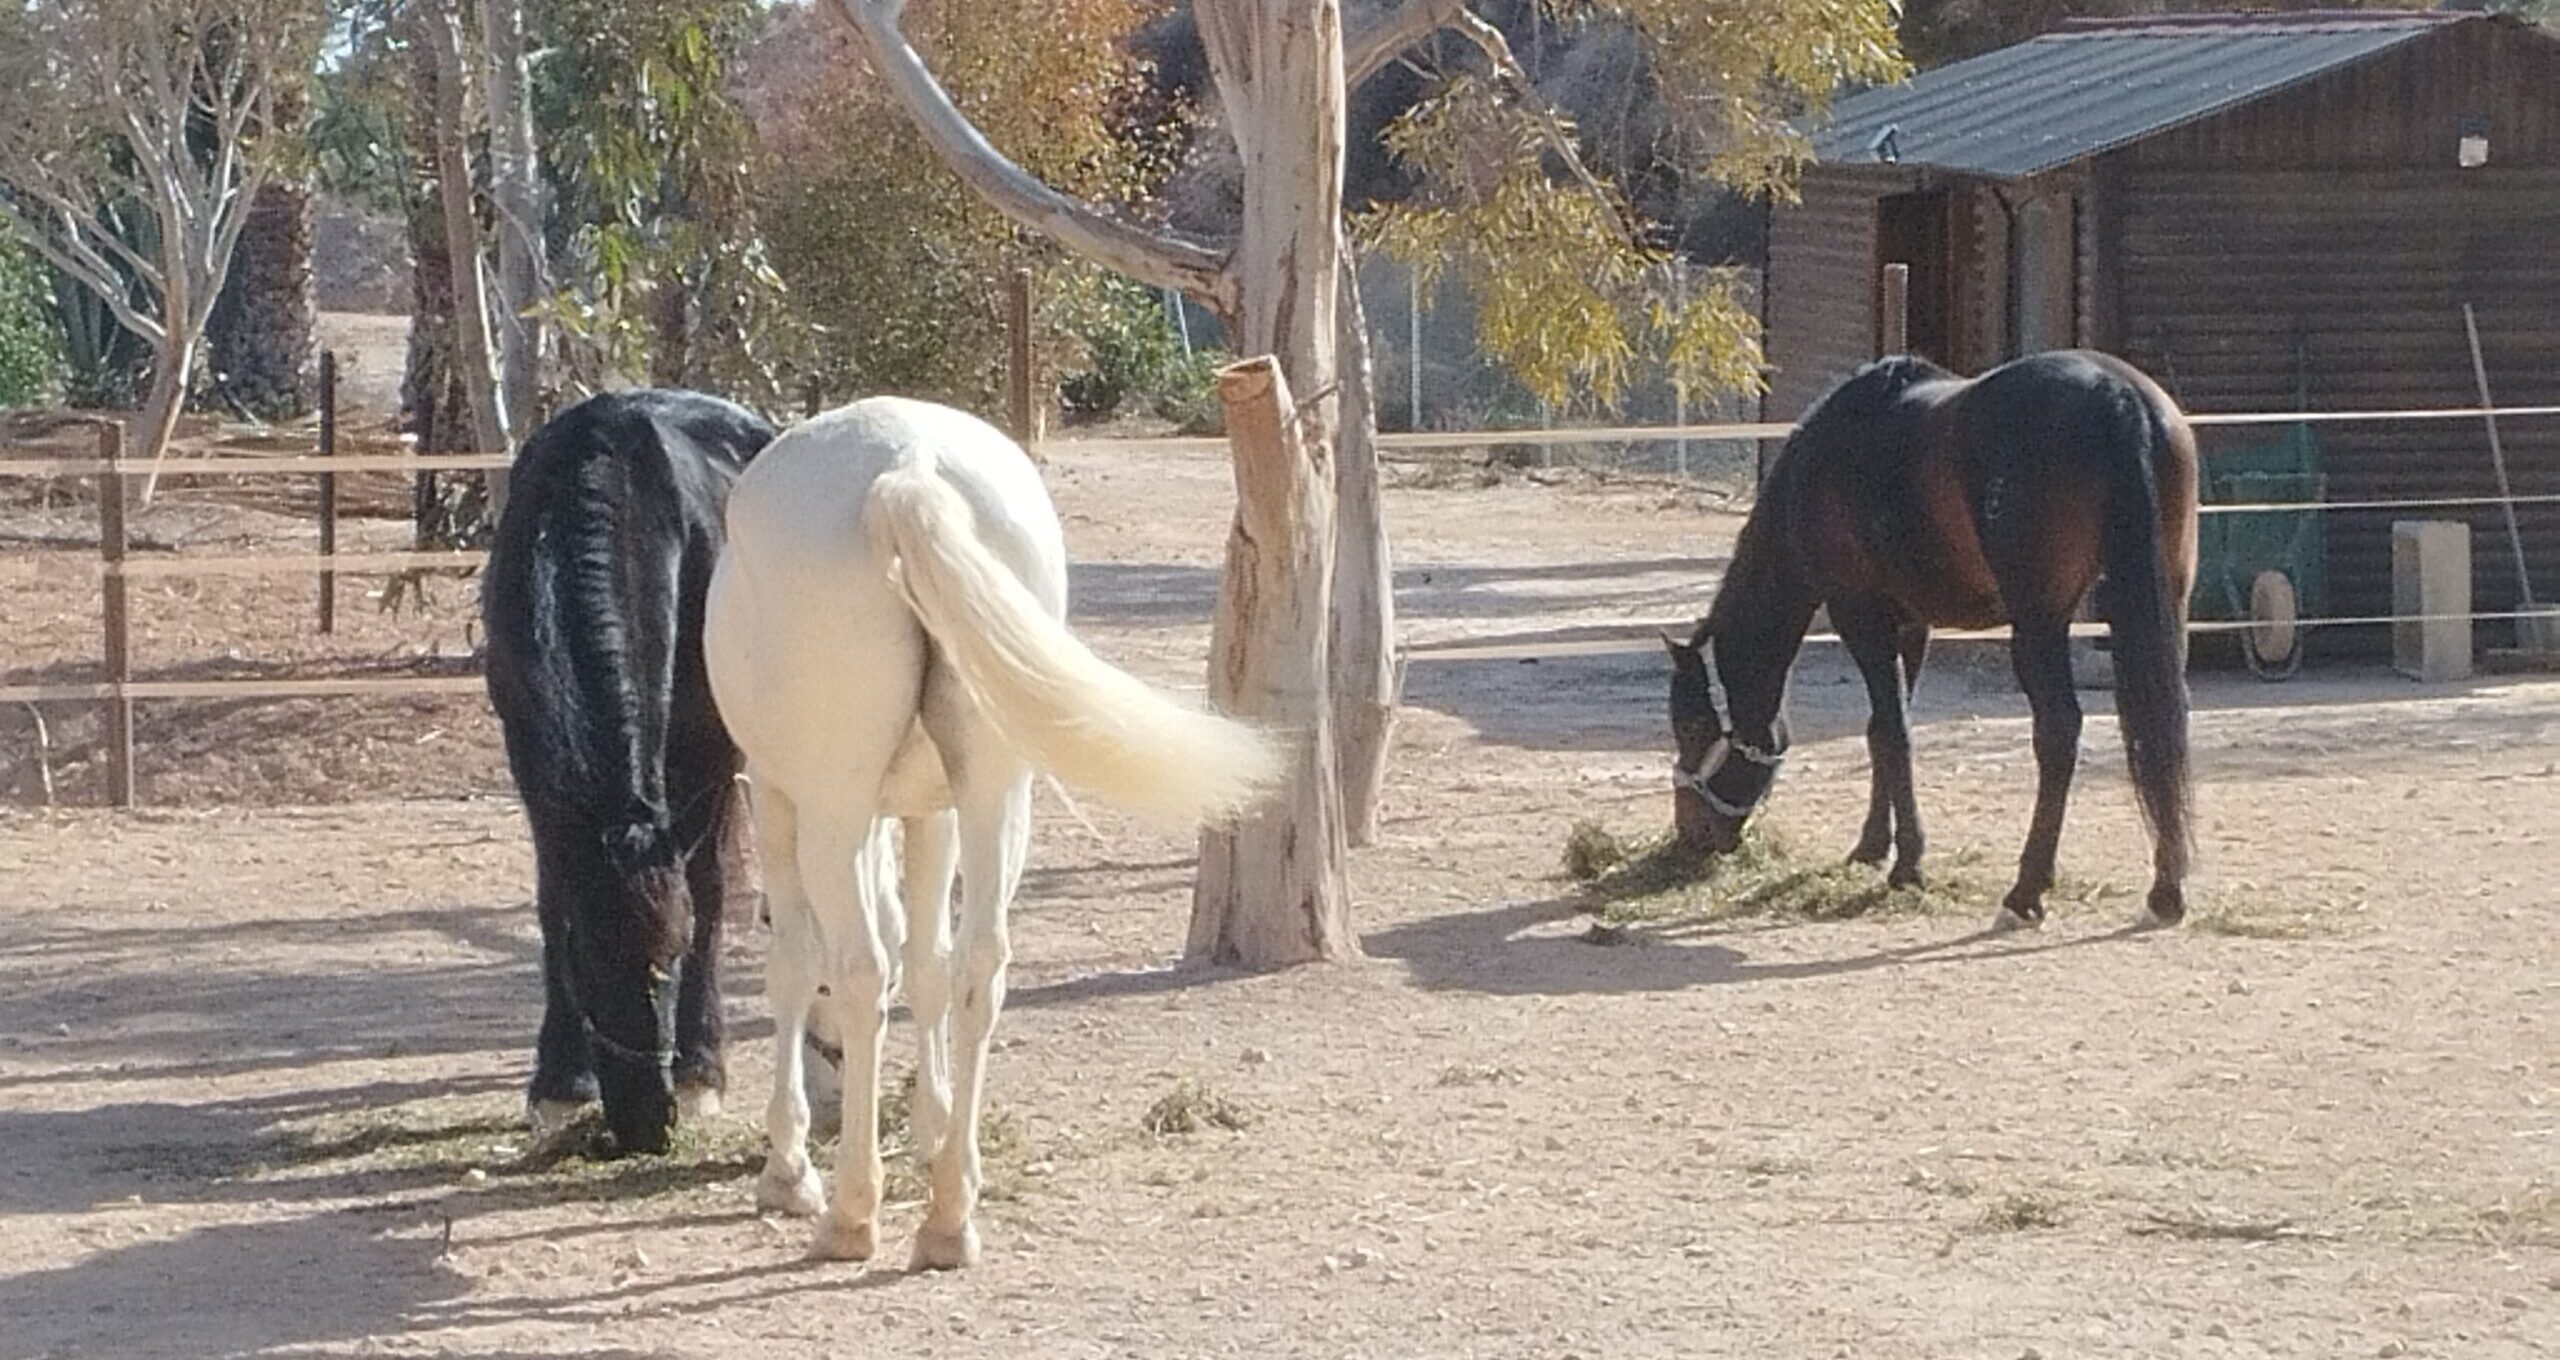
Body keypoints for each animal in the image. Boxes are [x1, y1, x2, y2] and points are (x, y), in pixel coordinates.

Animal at [482, 388, 776, 1154]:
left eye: (670, 955)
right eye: (587, 956)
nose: (648, 1119)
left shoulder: (706, 747)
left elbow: (706, 890)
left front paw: (701, 1071)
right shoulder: (528, 746)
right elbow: (552, 894)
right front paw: (560, 1081)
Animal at [704, 396, 1275, 1269]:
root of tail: (906, 466)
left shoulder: (778, 798)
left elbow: (801, 965)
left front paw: (789, 1169)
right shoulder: (931, 812)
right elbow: (929, 964)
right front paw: (931, 1130)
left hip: (835, 803)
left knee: (862, 968)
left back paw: (853, 1213)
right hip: (993, 795)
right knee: (978, 967)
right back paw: (948, 1216)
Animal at [1665, 350, 2198, 930]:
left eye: (1691, 727)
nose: (1692, 833)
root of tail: (2116, 394)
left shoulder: (1860, 614)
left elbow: (1893, 733)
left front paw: (1908, 865)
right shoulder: (1912, 624)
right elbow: (1882, 729)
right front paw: (1873, 846)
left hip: (2040, 624)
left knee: (2059, 733)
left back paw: (2025, 892)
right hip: (2165, 606)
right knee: (2163, 727)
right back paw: (2166, 890)